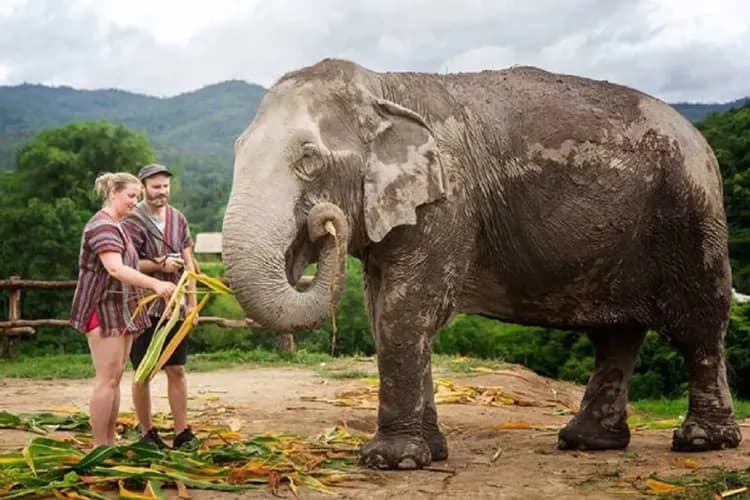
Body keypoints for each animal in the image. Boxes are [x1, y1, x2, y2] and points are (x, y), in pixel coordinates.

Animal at [222, 58, 741, 470]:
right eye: (237, 149)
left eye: (309, 159)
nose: (324, 224)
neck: (384, 87)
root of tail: (701, 140)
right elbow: (382, 312)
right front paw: (431, 453)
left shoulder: (449, 201)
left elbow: (406, 311)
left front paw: (392, 461)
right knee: (617, 336)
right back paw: (587, 442)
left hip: (691, 214)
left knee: (698, 323)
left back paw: (702, 442)